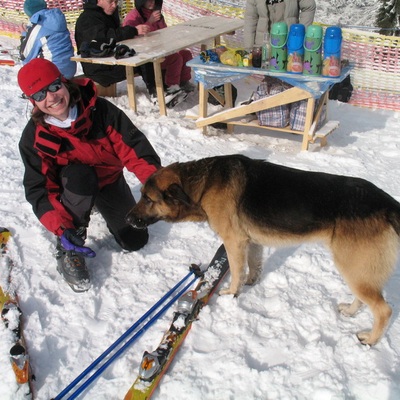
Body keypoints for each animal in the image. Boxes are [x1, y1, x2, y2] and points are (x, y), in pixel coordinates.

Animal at [127, 155, 400, 346]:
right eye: (141, 195)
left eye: (148, 199)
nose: (127, 219)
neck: (202, 184)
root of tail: (388, 204)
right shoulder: (251, 241)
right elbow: (254, 264)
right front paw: (251, 282)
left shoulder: (234, 242)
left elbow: (237, 271)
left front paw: (231, 294)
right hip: (358, 271)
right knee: (365, 298)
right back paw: (351, 312)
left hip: (353, 268)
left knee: (384, 310)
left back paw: (370, 340)